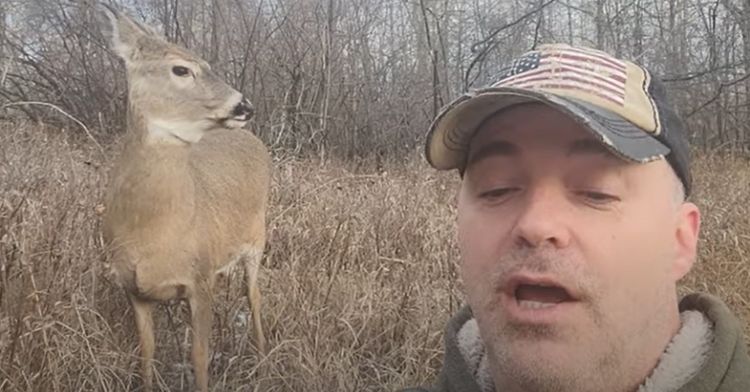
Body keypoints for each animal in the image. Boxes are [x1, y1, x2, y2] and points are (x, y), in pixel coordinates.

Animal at [95, 4, 268, 390]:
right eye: (180, 69)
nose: (245, 106)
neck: (152, 234)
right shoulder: (133, 288)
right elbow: (146, 352)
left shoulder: (200, 279)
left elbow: (199, 357)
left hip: (258, 238)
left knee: (254, 297)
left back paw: (265, 356)